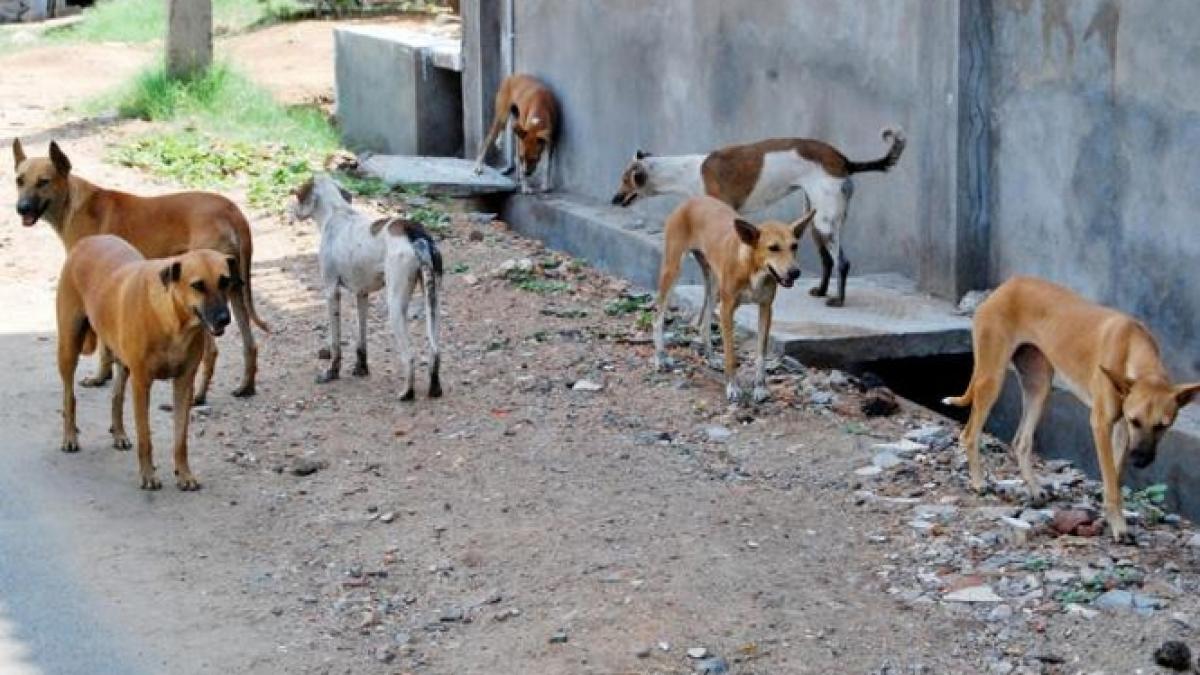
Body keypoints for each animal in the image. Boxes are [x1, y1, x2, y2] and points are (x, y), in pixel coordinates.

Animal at [58, 235, 238, 487]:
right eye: (198, 285)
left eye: (225, 281)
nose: (224, 318)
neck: (173, 322)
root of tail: (88, 240)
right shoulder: (142, 383)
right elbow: (145, 436)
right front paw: (148, 476)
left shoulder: (184, 383)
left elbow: (181, 438)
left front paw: (184, 474)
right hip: (68, 346)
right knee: (69, 396)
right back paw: (70, 436)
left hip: (122, 360)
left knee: (116, 396)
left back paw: (119, 434)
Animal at [291, 172, 446, 398]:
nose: (291, 211)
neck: (336, 213)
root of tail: (414, 232)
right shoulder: (362, 294)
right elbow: (361, 339)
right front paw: (361, 368)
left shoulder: (331, 291)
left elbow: (335, 343)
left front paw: (332, 372)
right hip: (433, 302)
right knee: (435, 350)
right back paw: (434, 388)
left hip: (395, 307)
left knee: (410, 356)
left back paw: (407, 393)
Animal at [614, 127, 902, 305]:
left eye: (625, 181)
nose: (613, 199)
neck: (688, 171)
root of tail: (844, 161)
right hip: (815, 222)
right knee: (828, 261)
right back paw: (821, 291)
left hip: (825, 223)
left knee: (842, 263)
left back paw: (838, 300)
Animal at [657, 194, 816, 403]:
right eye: (773, 248)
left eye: (794, 246)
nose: (795, 272)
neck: (752, 269)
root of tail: (692, 200)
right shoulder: (727, 309)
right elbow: (731, 353)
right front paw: (732, 387)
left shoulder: (766, 308)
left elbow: (761, 353)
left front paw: (760, 387)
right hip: (673, 271)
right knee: (658, 316)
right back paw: (660, 356)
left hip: (713, 287)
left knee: (704, 323)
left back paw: (711, 357)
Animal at [945, 273, 1200, 540]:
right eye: (1136, 421)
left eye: (1163, 426)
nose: (1140, 460)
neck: (1132, 347)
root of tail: (1008, 285)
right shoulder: (1102, 424)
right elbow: (1111, 479)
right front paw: (1119, 526)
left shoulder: (1120, 429)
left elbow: (1115, 476)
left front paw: (1111, 514)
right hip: (992, 379)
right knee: (970, 434)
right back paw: (978, 483)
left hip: (1040, 386)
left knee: (1022, 442)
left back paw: (1034, 490)